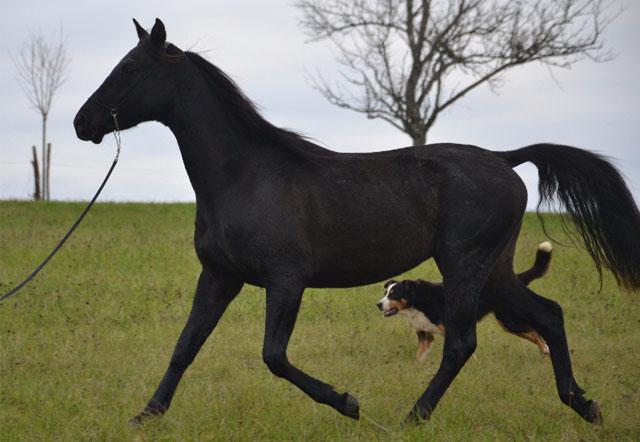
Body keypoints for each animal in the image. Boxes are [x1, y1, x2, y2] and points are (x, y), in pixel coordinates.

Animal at [378, 243, 552, 360]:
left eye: (393, 294)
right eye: (385, 293)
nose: (378, 304)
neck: (416, 304)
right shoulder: (425, 335)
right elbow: (419, 357)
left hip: (510, 321)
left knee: (535, 332)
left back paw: (545, 349)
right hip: (508, 323)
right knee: (533, 333)